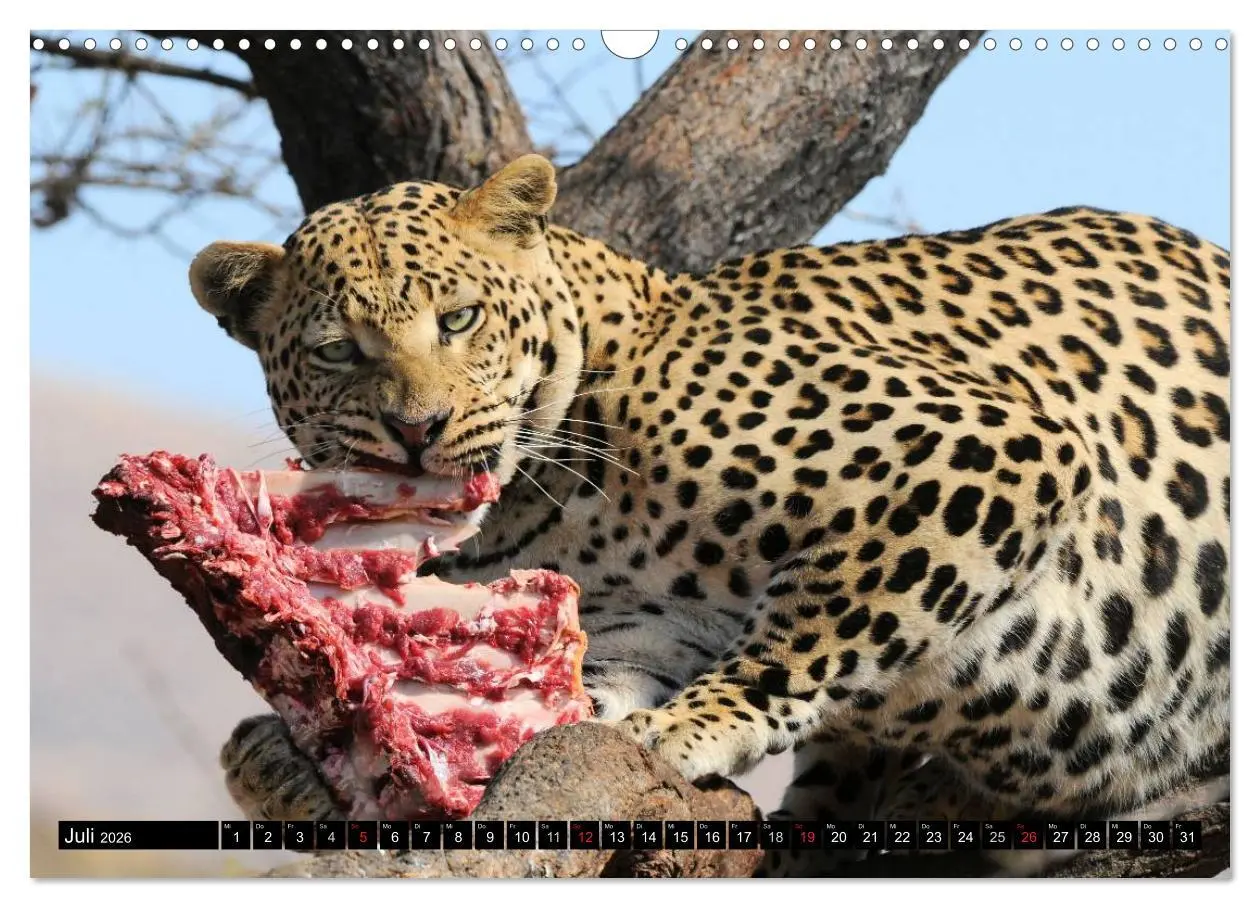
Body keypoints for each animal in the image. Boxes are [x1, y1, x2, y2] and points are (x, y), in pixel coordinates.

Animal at [189, 154, 1230, 875]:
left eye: (460, 319)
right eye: (337, 351)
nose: (417, 431)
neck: (552, 496)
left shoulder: (985, 449)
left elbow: (818, 631)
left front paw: (689, 729)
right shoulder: (641, 626)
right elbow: (578, 702)